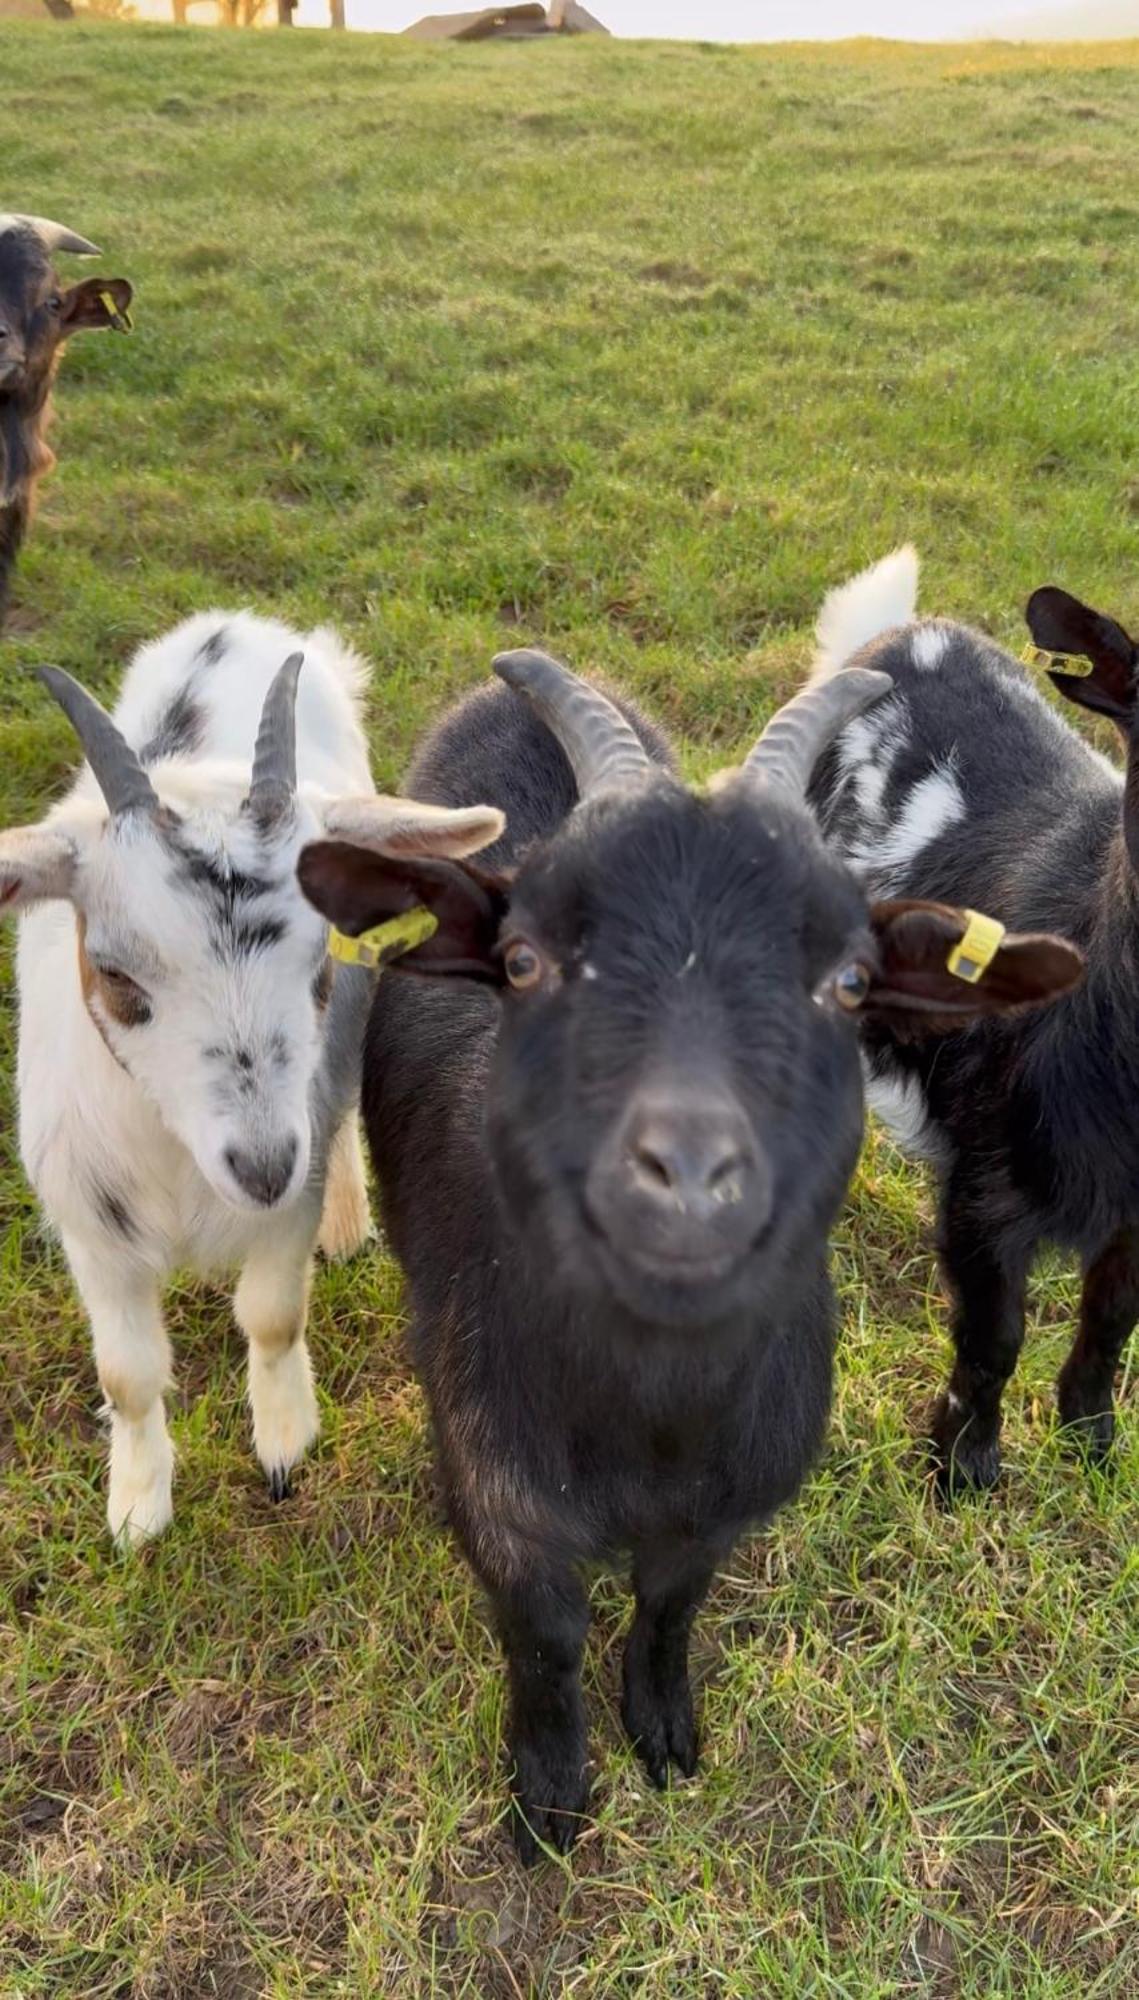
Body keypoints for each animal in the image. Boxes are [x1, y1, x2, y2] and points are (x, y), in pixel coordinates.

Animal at [3, 612, 501, 1544]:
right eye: (114, 974)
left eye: (322, 963)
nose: (263, 1165)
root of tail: (235, 626)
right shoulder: (91, 1230)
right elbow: (127, 1375)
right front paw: (138, 1509)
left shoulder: (283, 1209)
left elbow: (271, 1316)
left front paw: (283, 1444)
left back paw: (347, 1221)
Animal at [295, 648, 1071, 1848]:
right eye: (521, 960)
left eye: (849, 980)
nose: (691, 1178)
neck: (646, 1417)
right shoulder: (503, 1488)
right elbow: (543, 1637)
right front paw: (550, 1788)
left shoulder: (724, 1501)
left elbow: (668, 1606)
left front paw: (660, 1728)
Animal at [807, 556, 1127, 1496]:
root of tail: (897, 633)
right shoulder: (986, 1181)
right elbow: (994, 1334)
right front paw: (961, 1469)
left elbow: (1110, 1317)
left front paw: (1090, 1442)